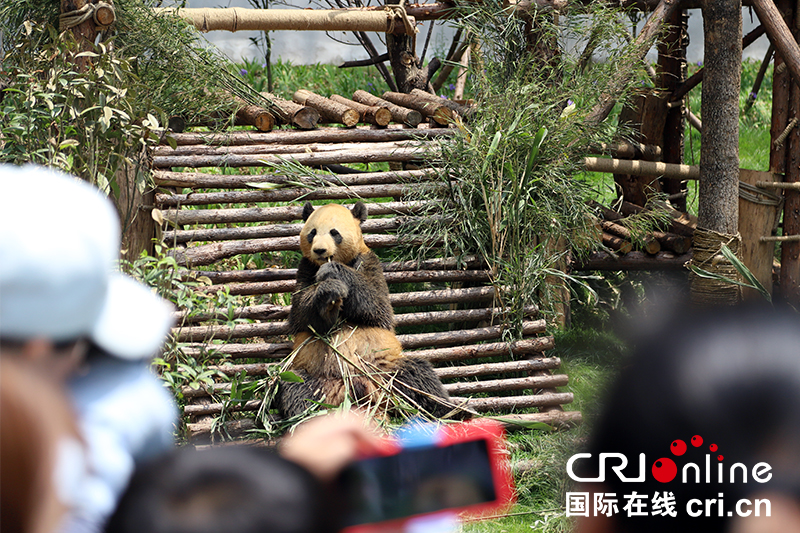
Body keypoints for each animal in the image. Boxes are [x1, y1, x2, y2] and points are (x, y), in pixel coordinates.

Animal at [276, 201, 460, 420]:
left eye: (334, 232)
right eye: (312, 232)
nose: (320, 251)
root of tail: (360, 393)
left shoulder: (369, 262)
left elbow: (378, 307)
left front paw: (334, 272)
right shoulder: (305, 268)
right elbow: (301, 314)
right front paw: (329, 295)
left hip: (387, 370)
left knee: (419, 378)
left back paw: (451, 413)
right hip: (314, 378)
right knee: (296, 390)